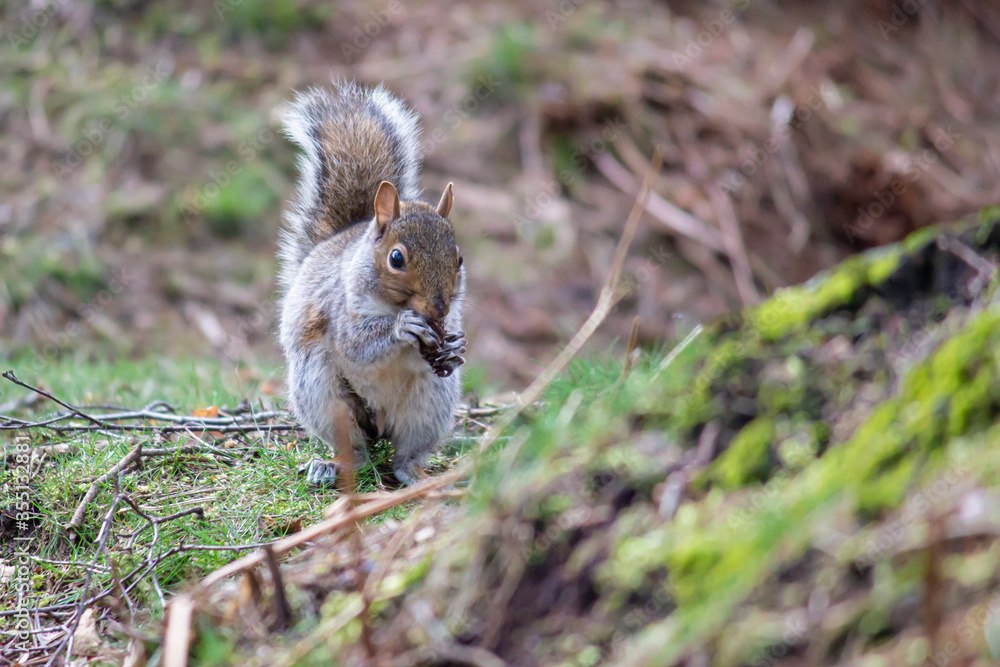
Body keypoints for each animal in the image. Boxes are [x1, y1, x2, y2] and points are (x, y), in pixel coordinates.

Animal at [277, 81, 467, 487]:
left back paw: (415, 473)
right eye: (396, 259)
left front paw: (455, 346)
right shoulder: (340, 308)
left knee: (405, 454)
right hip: (322, 393)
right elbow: (356, 343)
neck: (394, 303)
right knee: (356, 450)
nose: (439, 307)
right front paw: (402, 327)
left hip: (431, 402)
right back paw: (334, 465)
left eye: (459, 259)